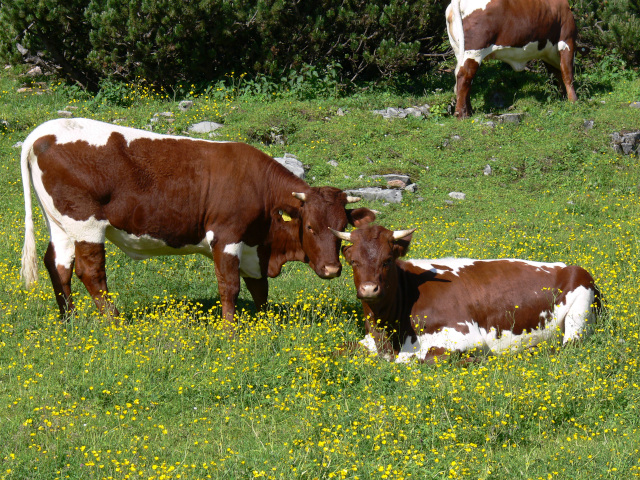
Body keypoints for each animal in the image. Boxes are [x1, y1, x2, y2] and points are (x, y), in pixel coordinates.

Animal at [21, 117, 376, 324]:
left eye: (343, 228)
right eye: (311, 227)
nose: (332, 269)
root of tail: (42, 132)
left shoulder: (254, 246)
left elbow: (259, 287)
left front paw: (262, 322)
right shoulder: (227, 235)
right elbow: (230, 286)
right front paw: (231, 329)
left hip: (60, 223)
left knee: (59, 265)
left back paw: (68, 321)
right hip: (86, 223)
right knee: (90, 272)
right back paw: (115, 322)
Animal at [332, 227, 604, 362]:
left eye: (387, 260)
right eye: (354, 262)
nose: (369, 289)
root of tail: (571, 267)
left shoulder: (464, 336)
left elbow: (418, 359)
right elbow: (338, 350)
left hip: (578, 315)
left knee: (567, 346)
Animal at [444, 0, 580, 119]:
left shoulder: (548, 53)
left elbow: (557, 74)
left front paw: (564, 98)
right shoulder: (567, 40)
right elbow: (567, 73)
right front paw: (573, 101)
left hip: (460, 50)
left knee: (464, 78)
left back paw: (469, 111)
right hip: (475, 50)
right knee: (464, 76)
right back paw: (462, 114)